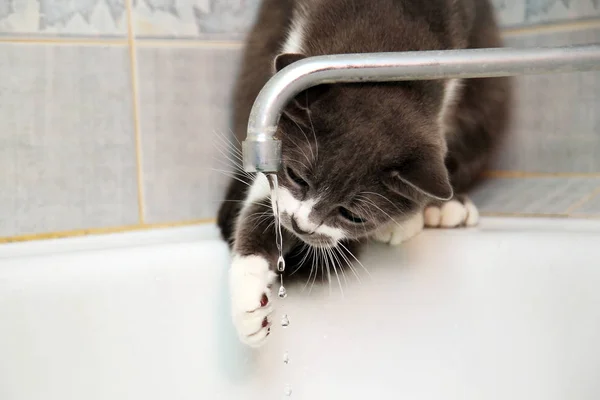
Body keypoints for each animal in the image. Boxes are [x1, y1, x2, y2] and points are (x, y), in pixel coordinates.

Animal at [216, 0, 510, 346]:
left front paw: (405, 218)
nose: (301, 226)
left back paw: (449, 206)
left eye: (353, 216)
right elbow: (264, 205)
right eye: (297, 176)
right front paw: (250, 303)